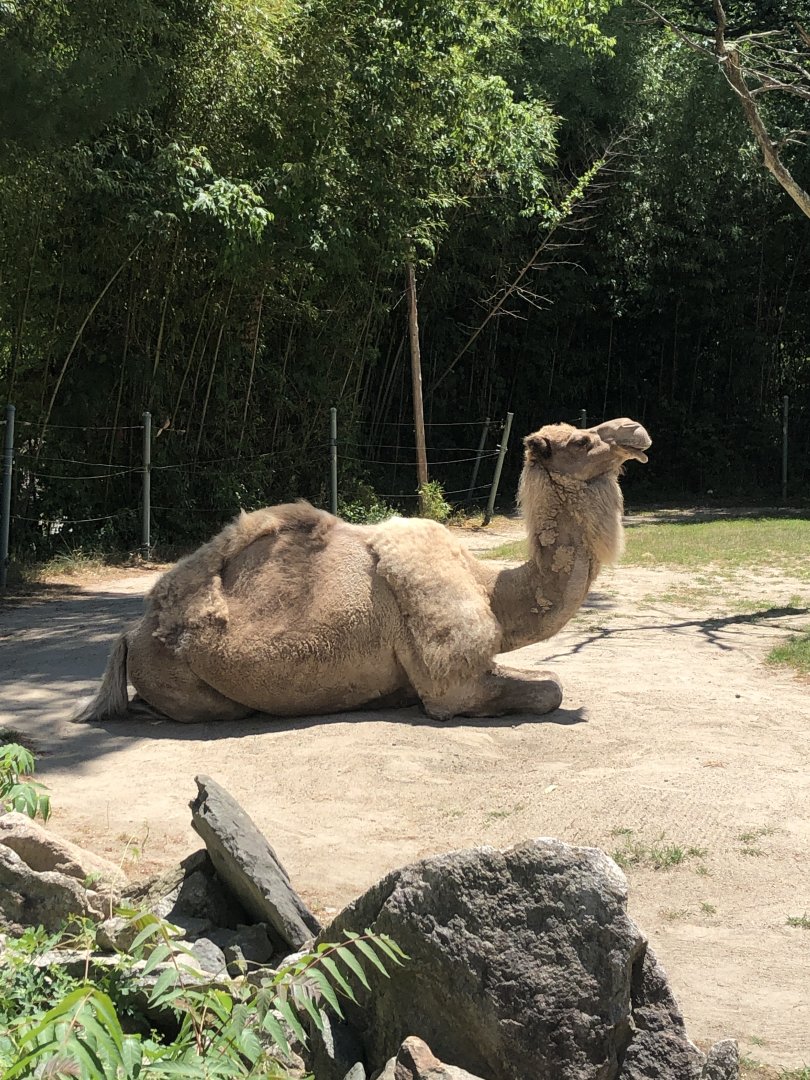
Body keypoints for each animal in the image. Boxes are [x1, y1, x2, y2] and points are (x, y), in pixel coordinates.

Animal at [75, 417, 650, 724]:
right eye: (581, 441)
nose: (636, 432)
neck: (491, 591)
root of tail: (131, 634)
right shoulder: (453, 684)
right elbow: (551, 689)